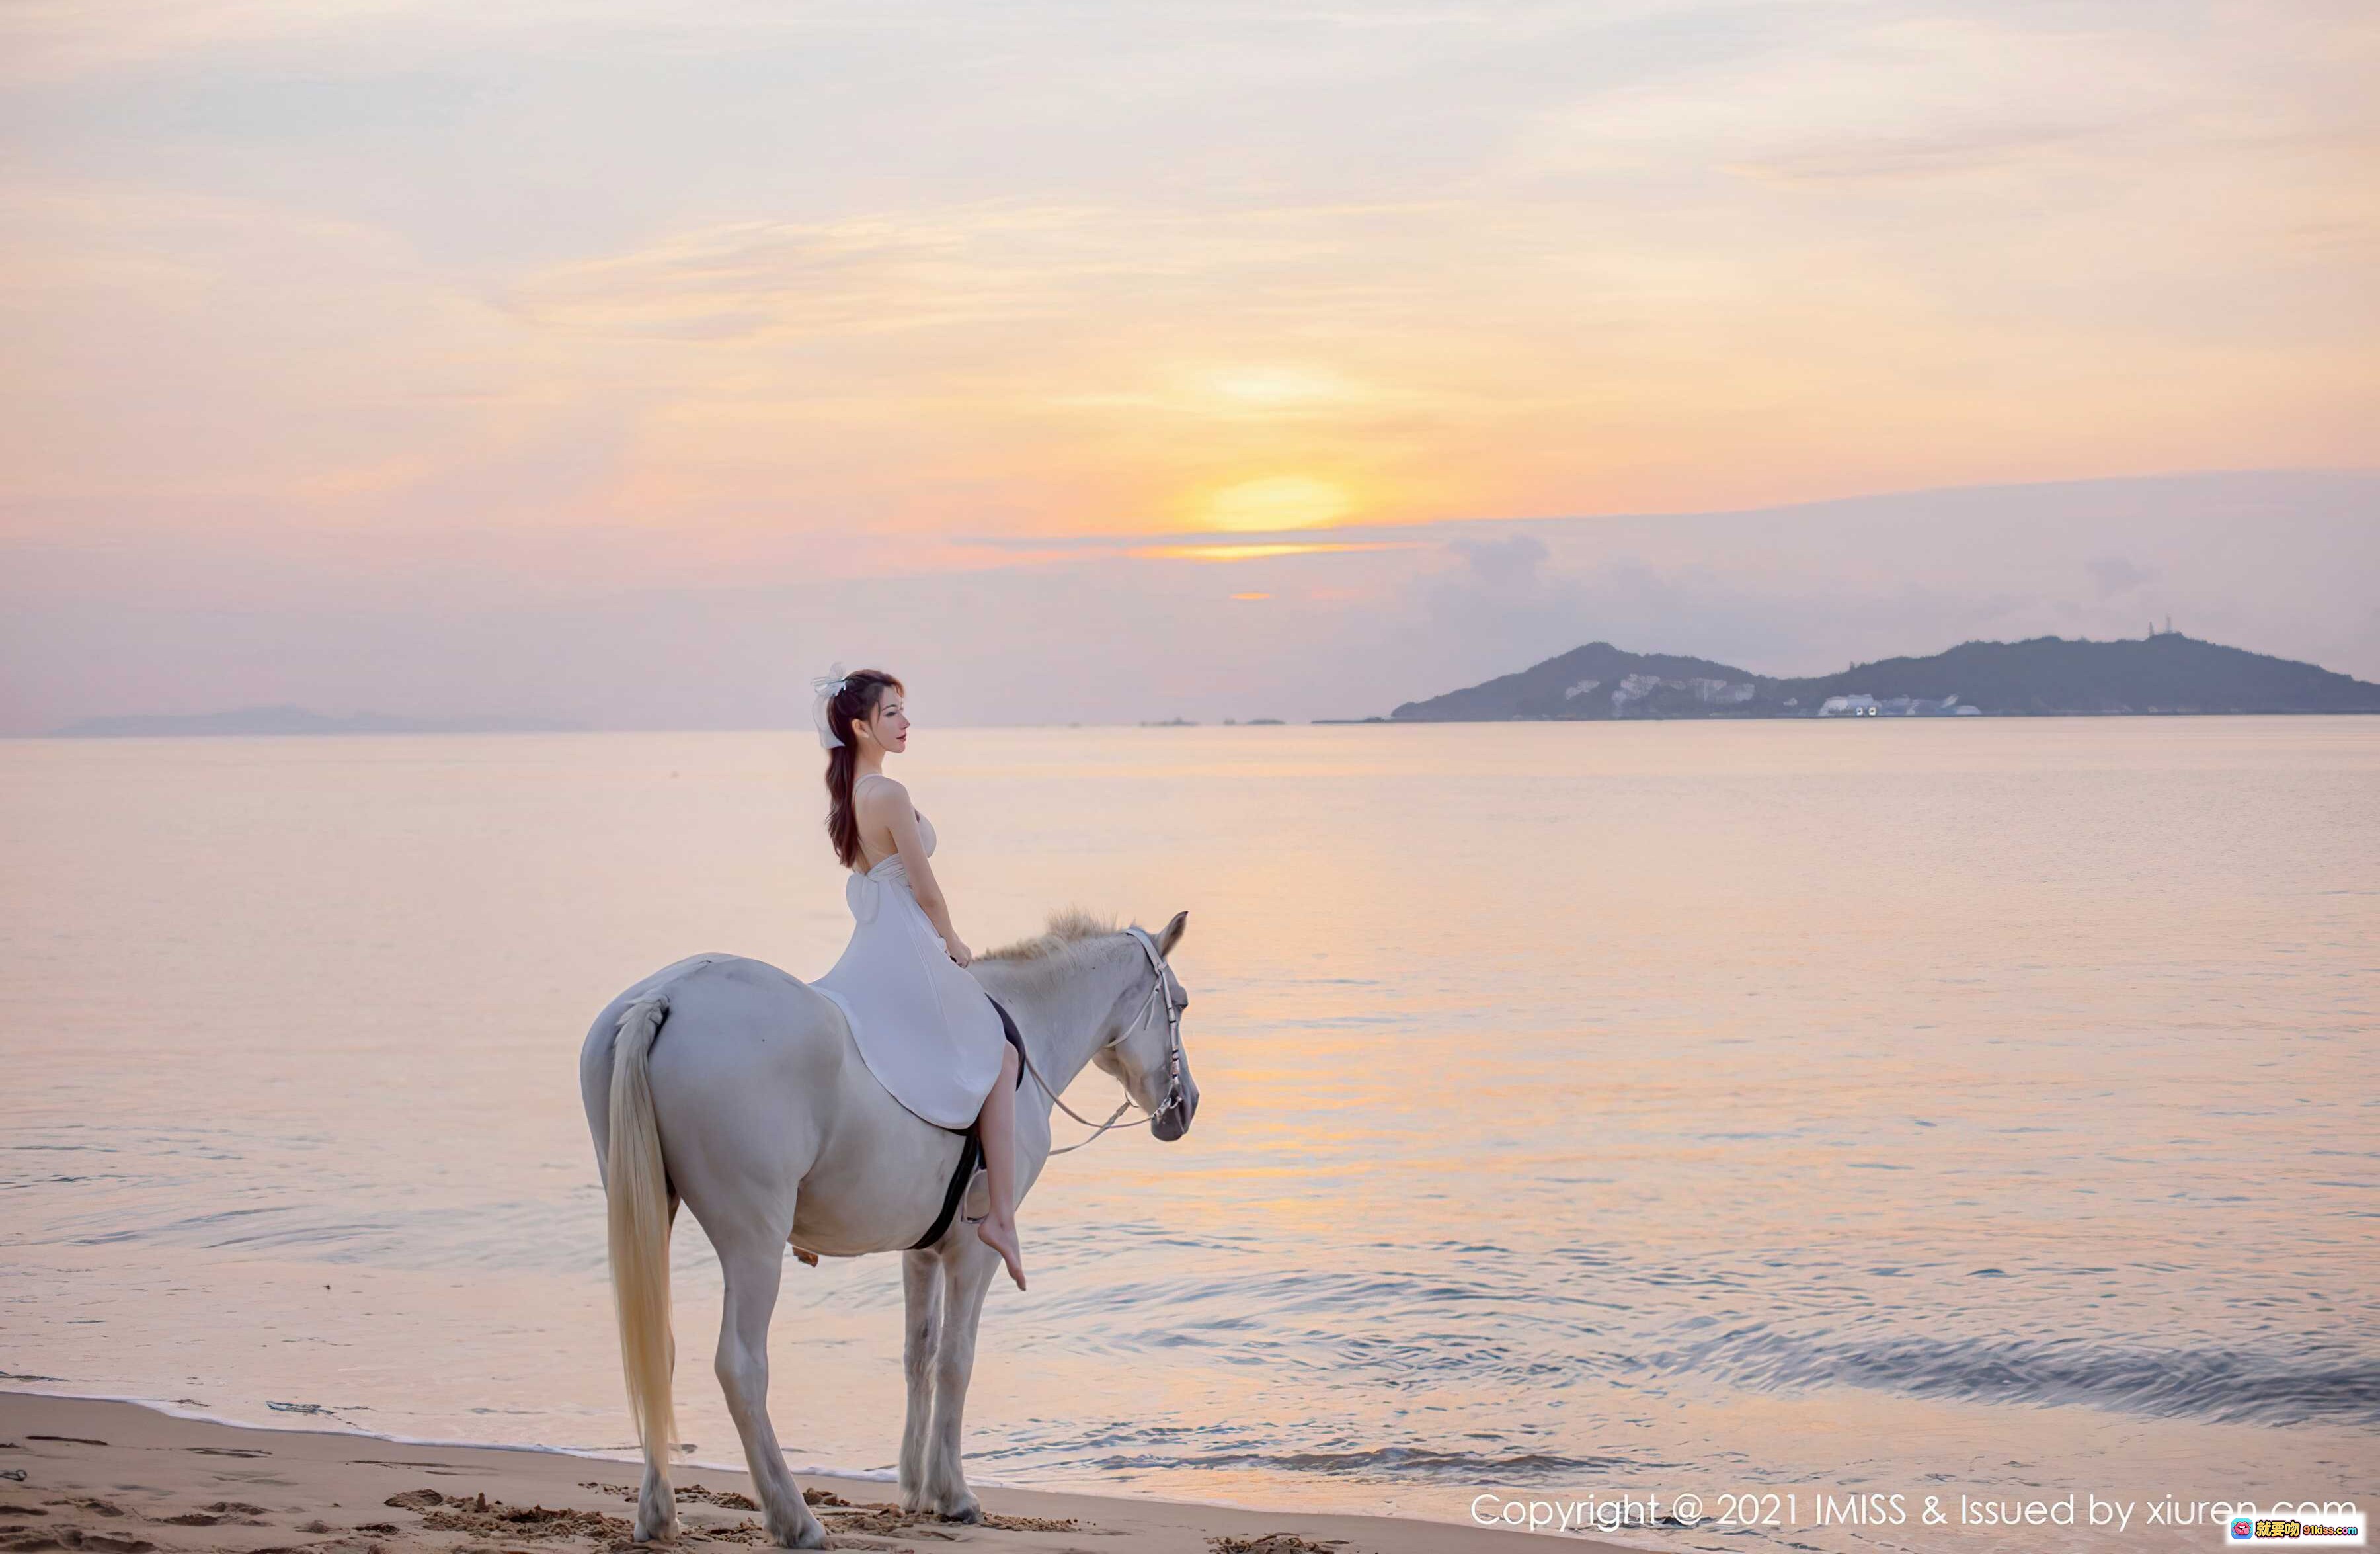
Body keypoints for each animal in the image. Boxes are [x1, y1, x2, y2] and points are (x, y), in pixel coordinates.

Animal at [577, 907, 1198, 1548]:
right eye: (1179, 1002)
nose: (1185, 1107)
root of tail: (668, 994)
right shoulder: (974, 1253)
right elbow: (956, 1359)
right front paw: (952, 1494)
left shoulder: (921, 1252)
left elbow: (917, 1356)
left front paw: (916, 1489)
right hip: (753, 1243)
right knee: (741, 1367)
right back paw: (795, 1519)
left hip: (652, 1211)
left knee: (658, 1350)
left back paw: (658, 1514)